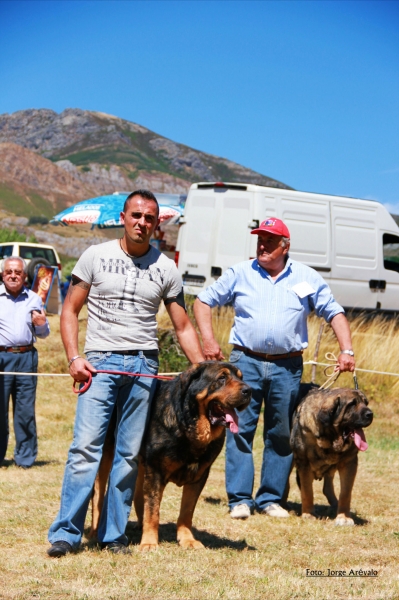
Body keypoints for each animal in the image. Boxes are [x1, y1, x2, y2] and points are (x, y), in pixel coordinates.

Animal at [92, 360, 252, 548]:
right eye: (222, 378)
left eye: (241, 377)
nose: (249, 390)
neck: (189, 426)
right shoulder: (155, 471)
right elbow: (153, 509)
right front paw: (149, 543)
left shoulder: (199, 476)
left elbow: (187, 511)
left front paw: (187, 539)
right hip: (106, 453)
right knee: (98, 495)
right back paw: (95, 532)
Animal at [292, 386, 374, 524]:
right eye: (352, 404)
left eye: (366, 403)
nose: (371, 414)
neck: (330, 438)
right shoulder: (304, 463)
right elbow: (307, 490)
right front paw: (308, 514)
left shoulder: (349, 463)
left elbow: (345, 493)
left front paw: (344, 517)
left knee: (327, 487)